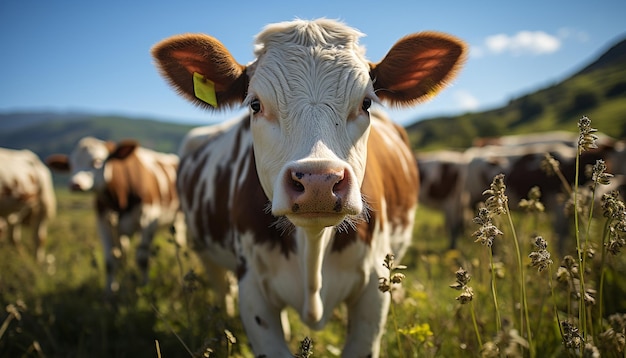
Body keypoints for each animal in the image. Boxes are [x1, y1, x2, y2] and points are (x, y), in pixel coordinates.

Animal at [45, 137, 184, 294]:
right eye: (72, 165)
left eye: (97, 161)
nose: (75, 184)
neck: (119, 197)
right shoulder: (103, 221)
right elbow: (110, 261)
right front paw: (110, 292)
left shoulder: (148, 220)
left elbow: (142, 259)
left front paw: (144, 286)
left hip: (178, 219)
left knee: (179, 241)